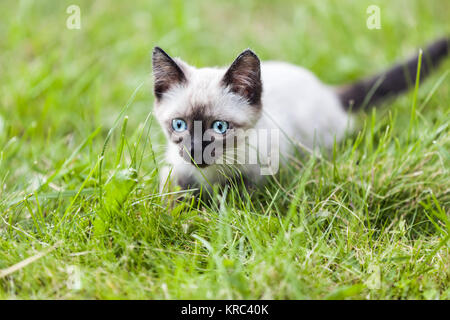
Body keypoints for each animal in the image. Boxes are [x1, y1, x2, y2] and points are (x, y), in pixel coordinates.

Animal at [152, 37, 450, 192]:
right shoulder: (174, 170)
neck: (211, 175)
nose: (194, 151)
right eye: (179, 125)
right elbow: (174, 197)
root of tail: (325, 89)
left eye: (220, 127)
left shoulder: (264, 169)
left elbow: (239, 195)